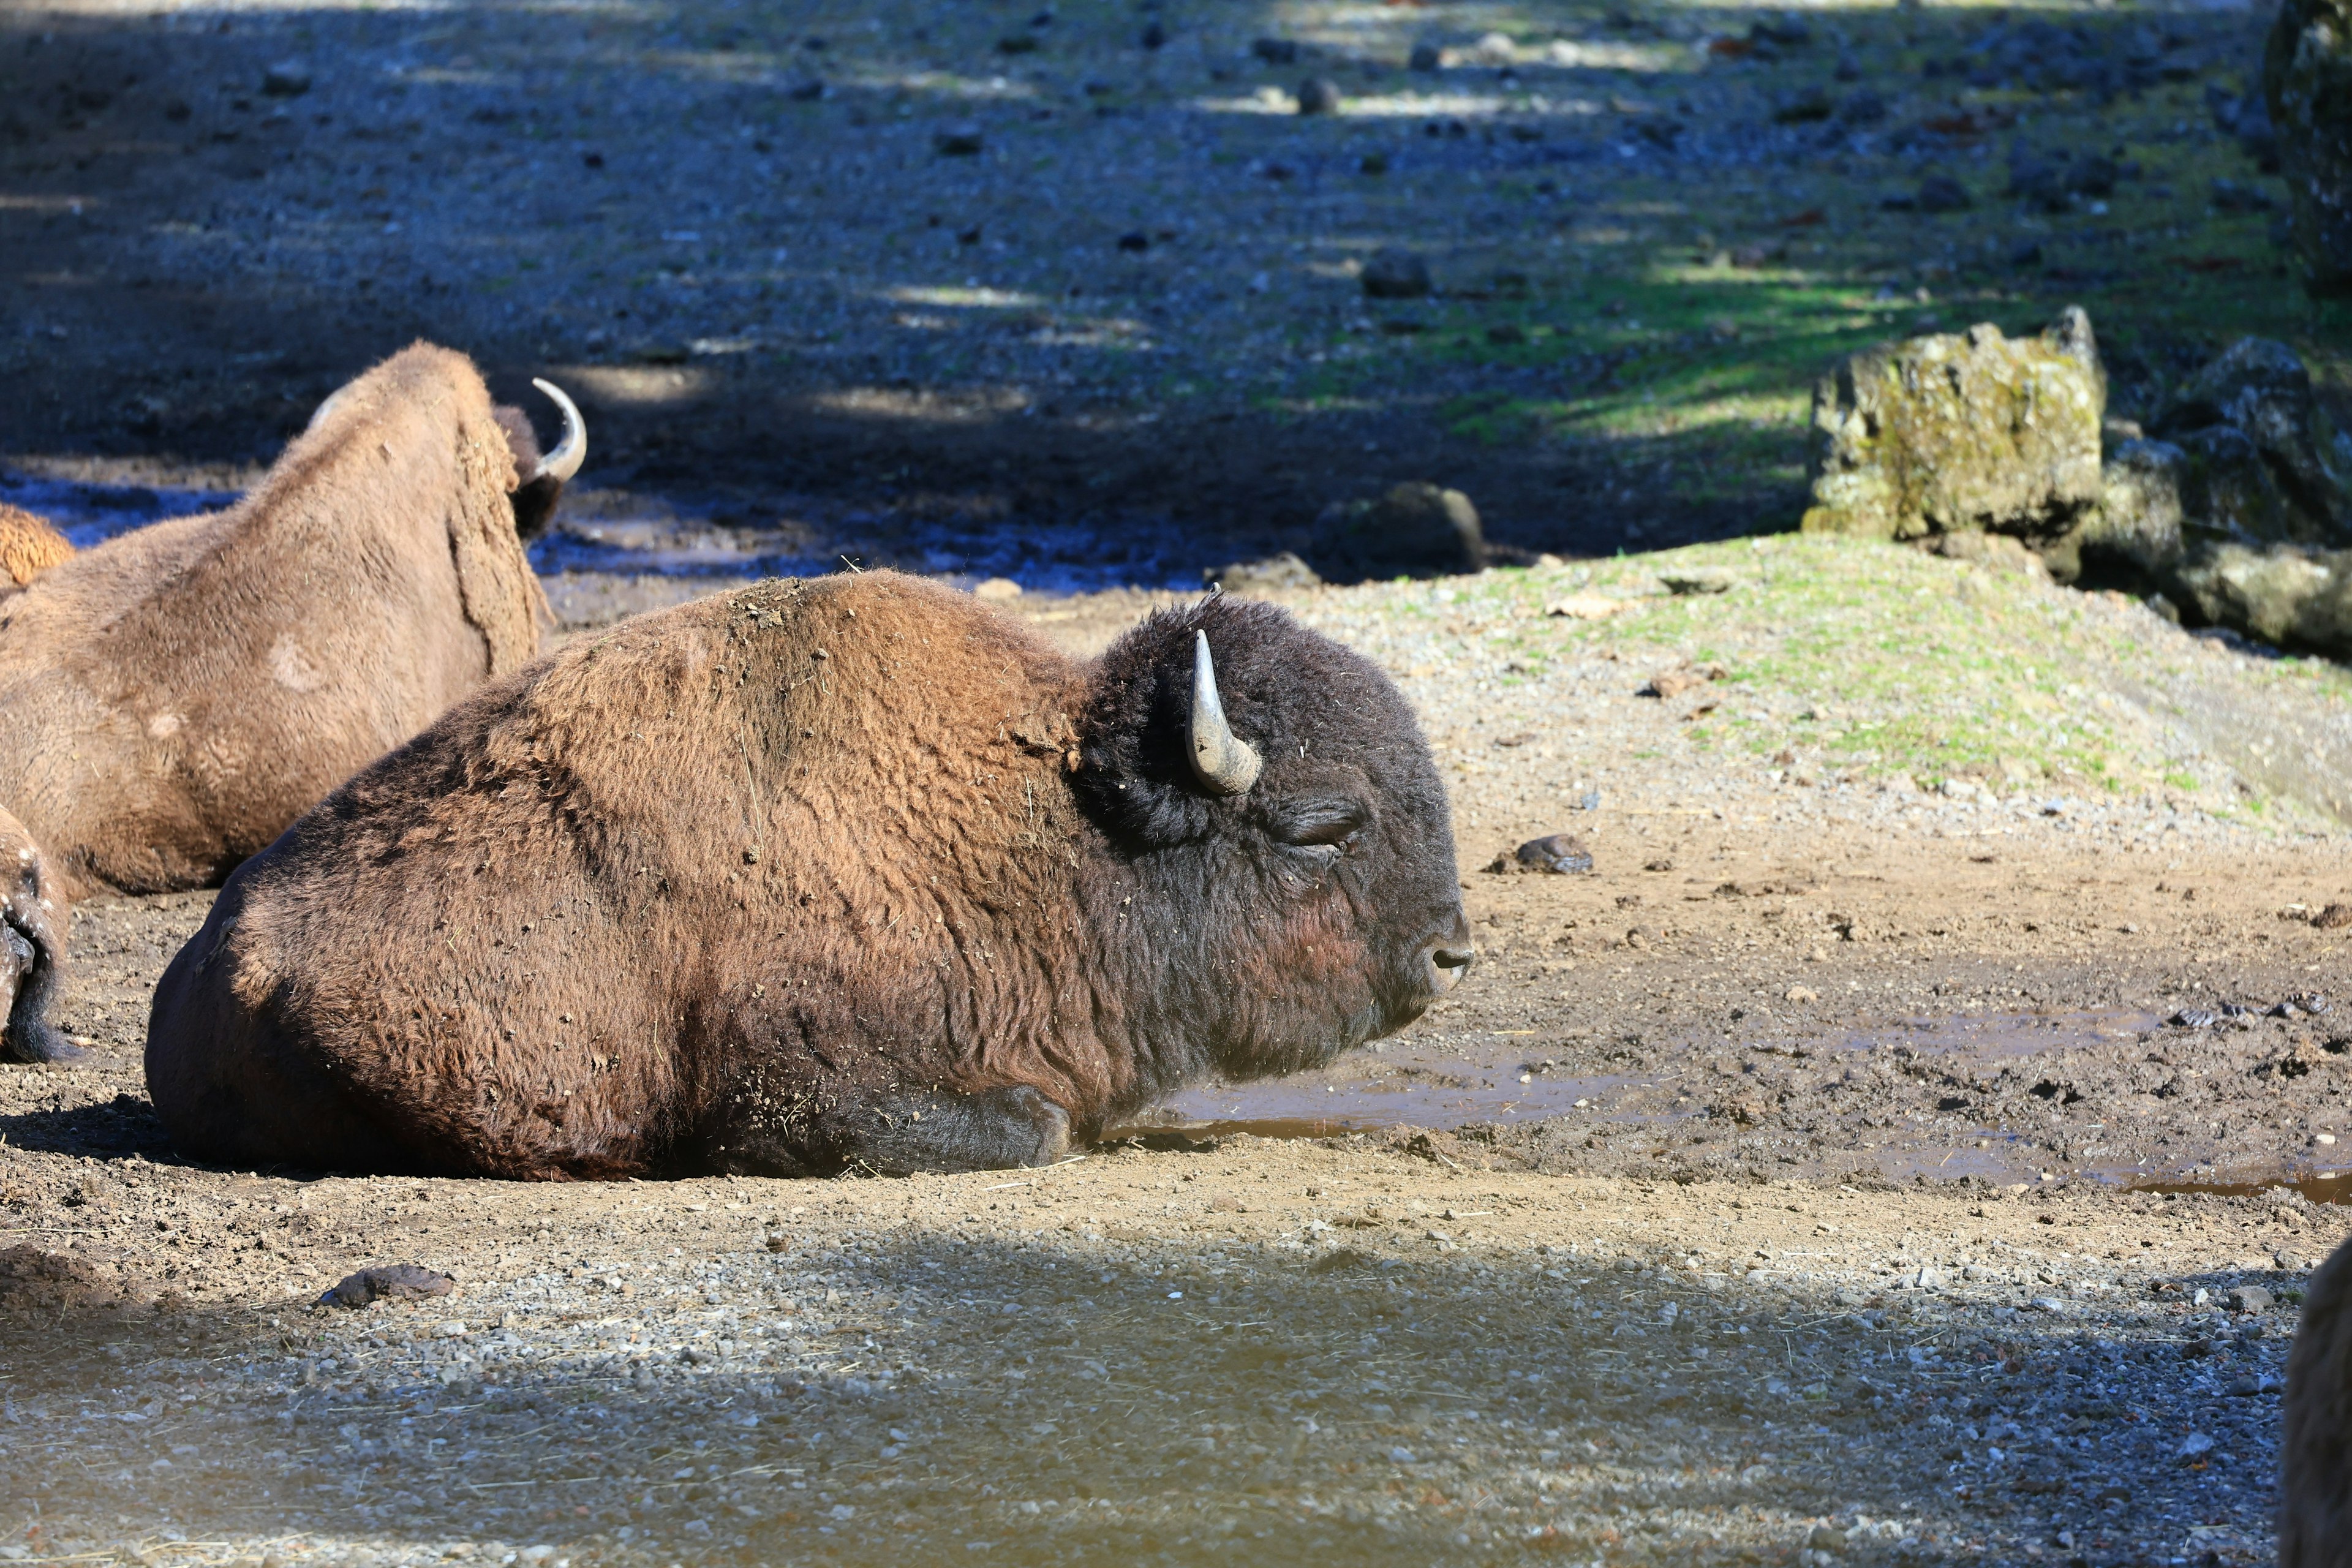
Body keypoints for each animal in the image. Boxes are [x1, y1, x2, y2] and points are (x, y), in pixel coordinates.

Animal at [142, 573, 1468, 1175]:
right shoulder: (804, 1088)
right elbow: (1032, 1128)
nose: (1451, 950)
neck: (1051, 823)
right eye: (1319, 829)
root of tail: (203, 969)